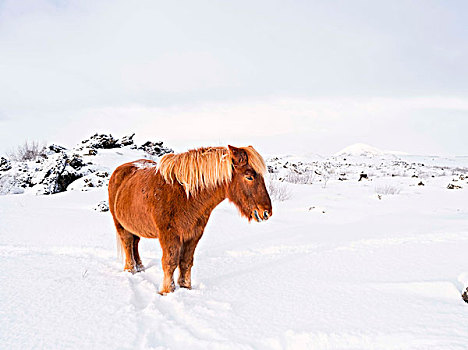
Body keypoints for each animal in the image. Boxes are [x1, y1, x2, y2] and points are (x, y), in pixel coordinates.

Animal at [108, 144, 272, 294]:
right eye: (249, 176)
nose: (266, 212)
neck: (185, 195)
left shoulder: (193, 234)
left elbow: (186, 262)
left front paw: (186, 288)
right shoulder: (169, 235)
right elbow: (170, 262)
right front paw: (167, 291)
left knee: (135, 243)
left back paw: (140, 267)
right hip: (120, 224)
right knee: (128, 243)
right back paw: (130, 269)